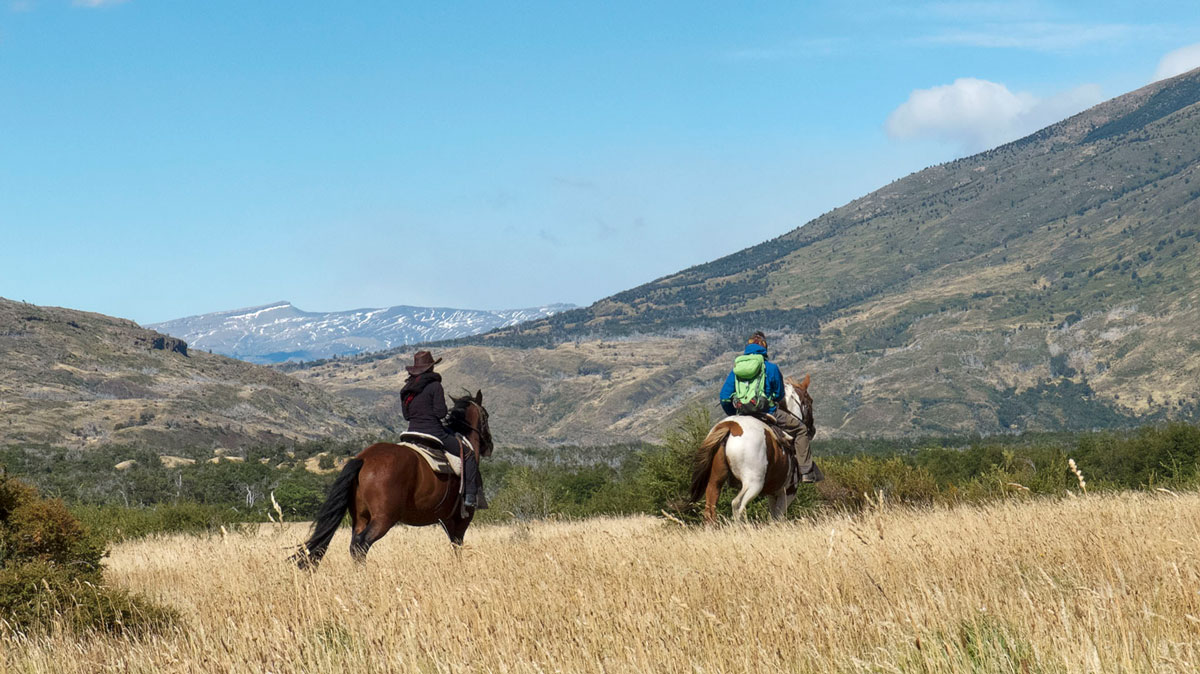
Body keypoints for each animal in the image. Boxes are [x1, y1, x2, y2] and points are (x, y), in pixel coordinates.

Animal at [294, 388, 492, 566]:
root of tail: (363, 459)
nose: (489, 445)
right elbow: (457, 546)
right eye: (486, 415)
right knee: (362, 544)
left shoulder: (447, 520)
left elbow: (454, 546)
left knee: (354, 546)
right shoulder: (461, 519)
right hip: (383, 519)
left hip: (360, 518)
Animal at [691, 374, 811, 522]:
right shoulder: (788, 491)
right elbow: (779, 516)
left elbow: (774, 516)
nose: (812, 430)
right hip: (754, 483)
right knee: (737, 505)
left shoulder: (773, 492)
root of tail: (731, 426)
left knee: (710, 509)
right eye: (809, 402)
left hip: (715, 480)